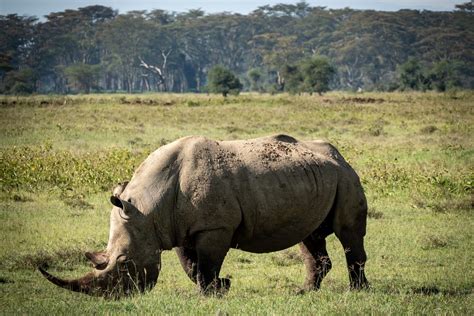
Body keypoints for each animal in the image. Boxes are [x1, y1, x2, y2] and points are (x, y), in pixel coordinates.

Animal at [39, 135, 366, 298]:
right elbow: (191, 266)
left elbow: (207, 263)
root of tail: (339, 155)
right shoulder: (177, 228)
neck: (147, 208)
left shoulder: (215, 227)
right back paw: (304, 292)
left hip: (345, 176)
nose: (116, 297)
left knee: (347, 233)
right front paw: (219, 288)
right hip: (314, 178)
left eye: (124, 263)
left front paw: (211, 293)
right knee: (310, 236)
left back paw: (357, 292)